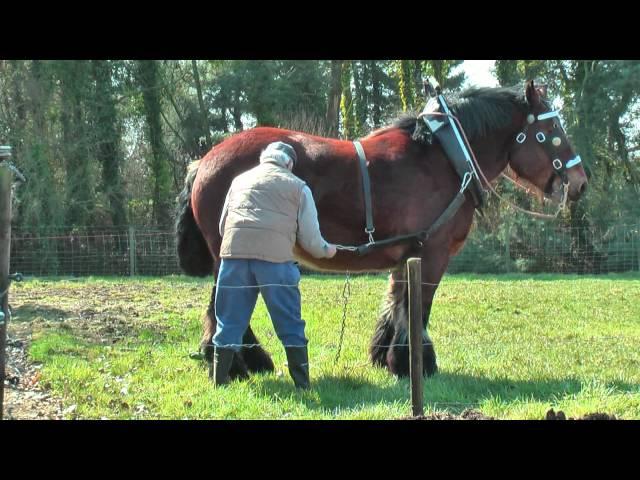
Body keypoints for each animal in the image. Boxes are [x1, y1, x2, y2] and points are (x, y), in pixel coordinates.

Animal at [176, 81, 592, 378]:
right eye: (552, 128)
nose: (580, 182)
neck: (443, 159)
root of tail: (203, 161)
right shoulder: (433, 252)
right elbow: (419, 307)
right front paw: (415, 364)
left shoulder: (408, 253)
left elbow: (398, 303)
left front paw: (387, 357)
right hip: (233, 250)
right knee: (223, 306)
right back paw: (236, 363)